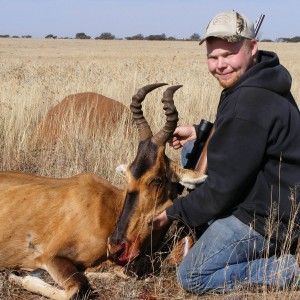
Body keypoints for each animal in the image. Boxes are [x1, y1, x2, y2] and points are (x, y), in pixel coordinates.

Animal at [0, 83, 206, 298]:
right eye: (128, 176)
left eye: (156, 179)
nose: (116, 246)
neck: (110, 207)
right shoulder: (52, 257)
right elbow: (77, 288)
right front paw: (17, 275)